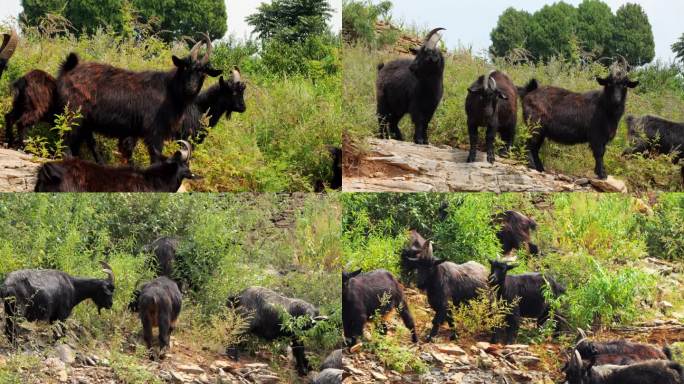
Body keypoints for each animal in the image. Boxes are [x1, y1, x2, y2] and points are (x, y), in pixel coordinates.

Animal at [56, 36, 222, 166]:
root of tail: (68, 70)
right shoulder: (154, 132)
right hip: (73, 115)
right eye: (185, 67)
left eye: (203, 72)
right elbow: (154, 157)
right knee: (66, 140)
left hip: (84, 121)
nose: (190, 88)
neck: (169, 90)